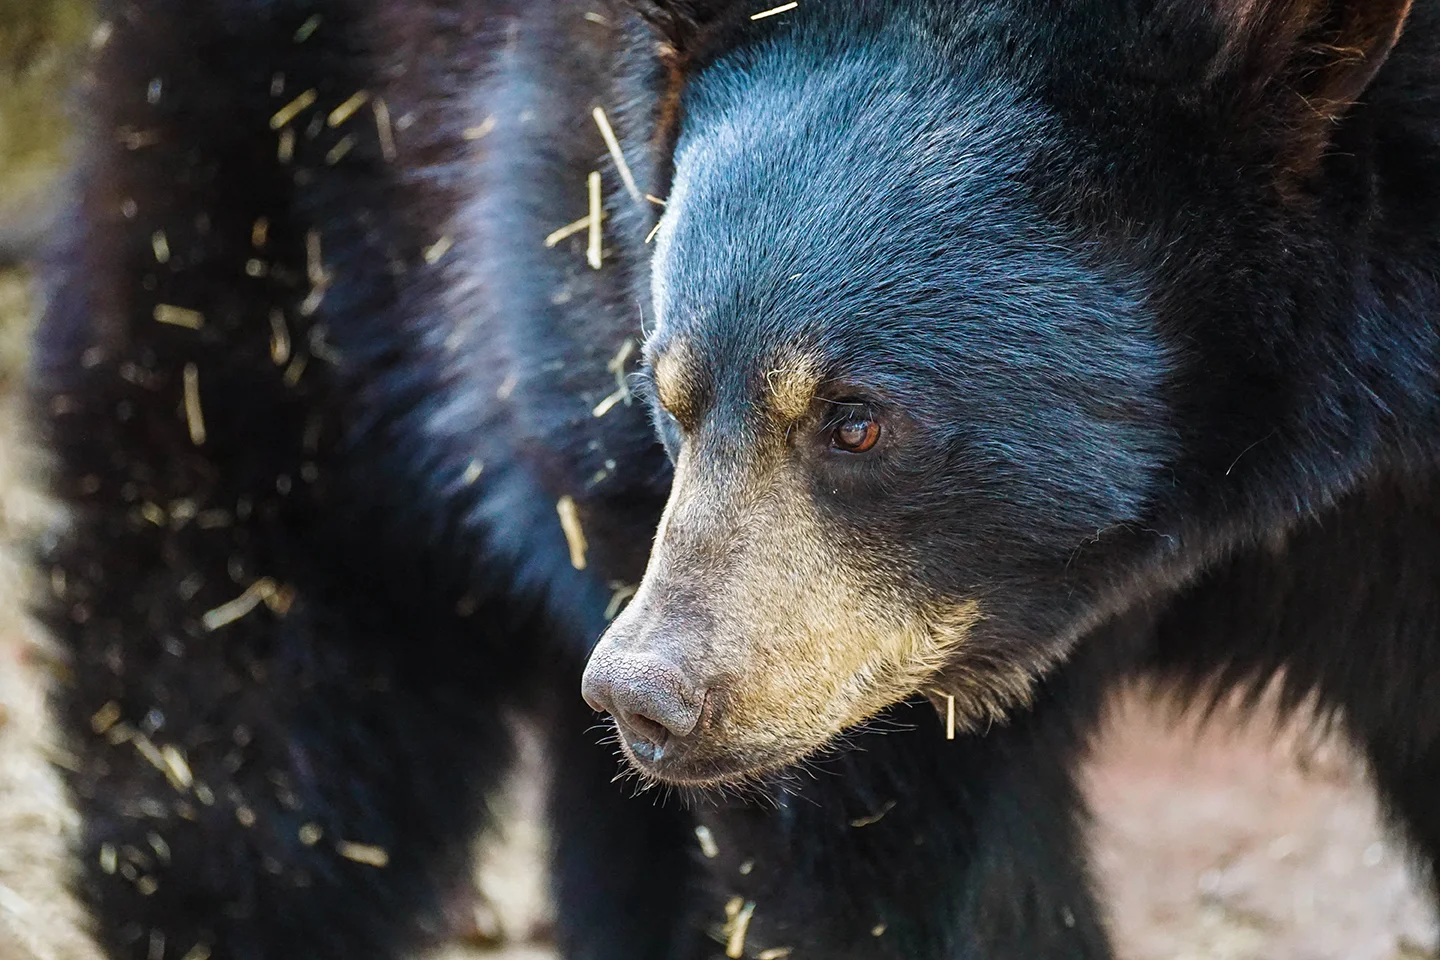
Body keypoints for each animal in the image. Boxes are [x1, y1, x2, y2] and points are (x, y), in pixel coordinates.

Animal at [26, 1, 1440, 960]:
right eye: (671, 385)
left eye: (858, 421)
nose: (647, 694)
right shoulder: (863, 681)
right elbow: (893, 863)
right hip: (293, 230)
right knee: (248, 695)